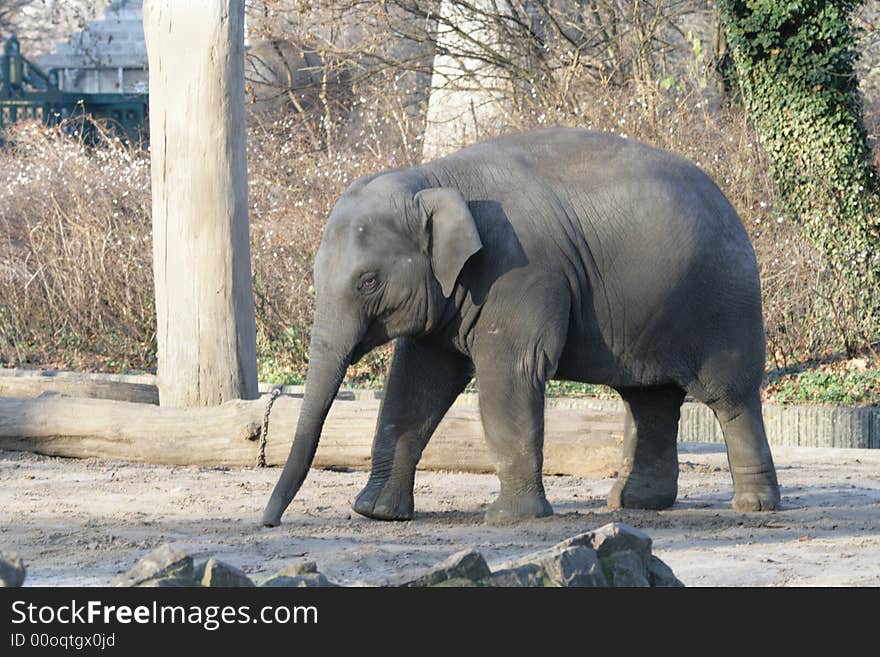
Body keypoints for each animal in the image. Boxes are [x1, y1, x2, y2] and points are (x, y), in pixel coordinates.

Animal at [258, 127, 780, 528]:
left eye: (368, 281)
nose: (268, 521)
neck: (432, 179)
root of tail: (734, 206)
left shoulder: (519, 272)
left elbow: (510, 373)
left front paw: (509, 518)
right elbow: (413, 383)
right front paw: (376, 512)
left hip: (723, 305)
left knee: (729, 397)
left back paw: (753, 506)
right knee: (649, 398)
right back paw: (634, 504)